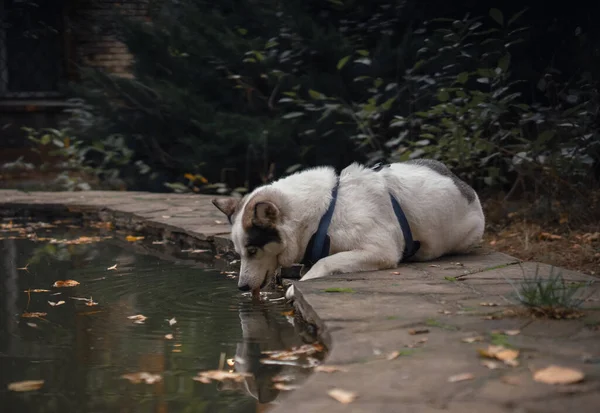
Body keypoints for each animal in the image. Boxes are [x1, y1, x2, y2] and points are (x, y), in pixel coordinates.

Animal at [213, 159, 486, 294]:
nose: (242, 287)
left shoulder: (381, 250)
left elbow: (324, 262)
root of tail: (462, 183)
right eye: (240, 253)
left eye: (253, 251)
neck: (324, 213)